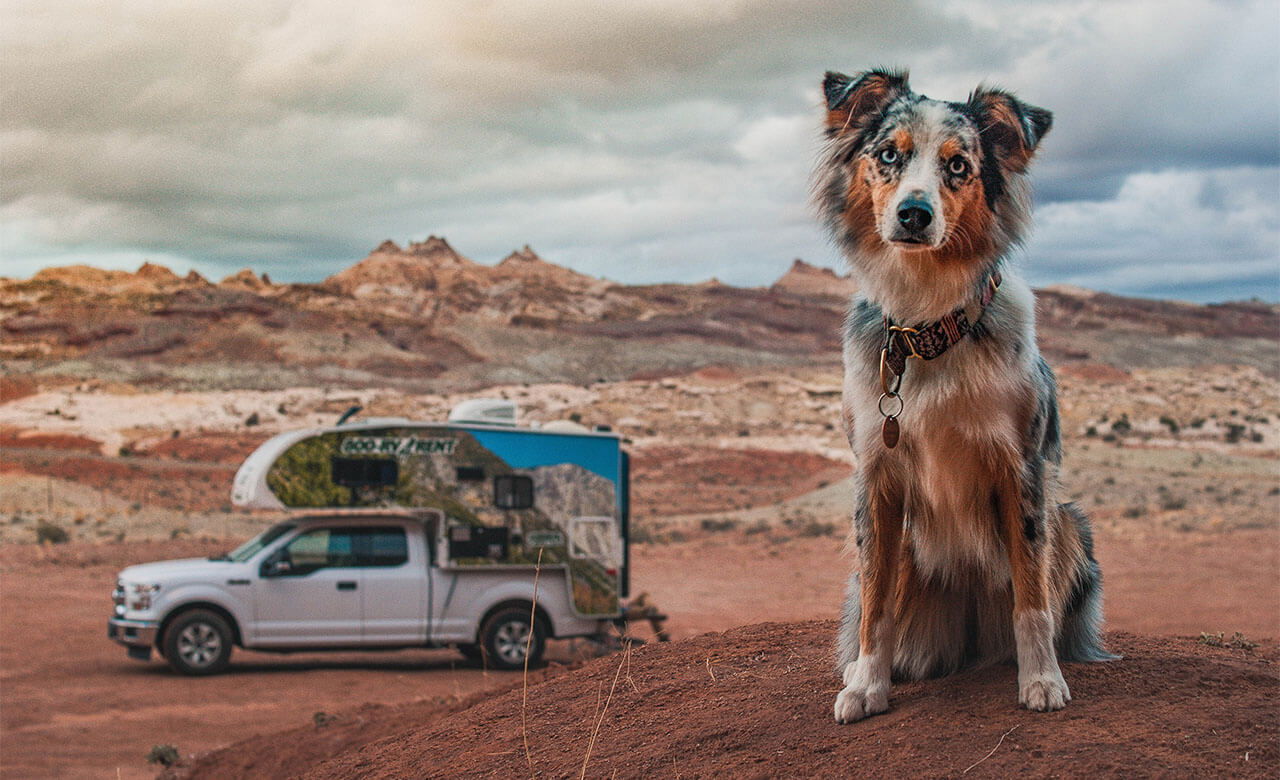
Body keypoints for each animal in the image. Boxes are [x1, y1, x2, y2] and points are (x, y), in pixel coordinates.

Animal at [814, 69, 1116, 722]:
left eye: (958, 165)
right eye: (889, 155)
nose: (914, 214)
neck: (927, 327)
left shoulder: (1021, 468)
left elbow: (1031, 593)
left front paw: (1042, 681)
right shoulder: (876, 475)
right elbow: (876, 599)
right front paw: (865, 686)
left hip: (1069, 520)